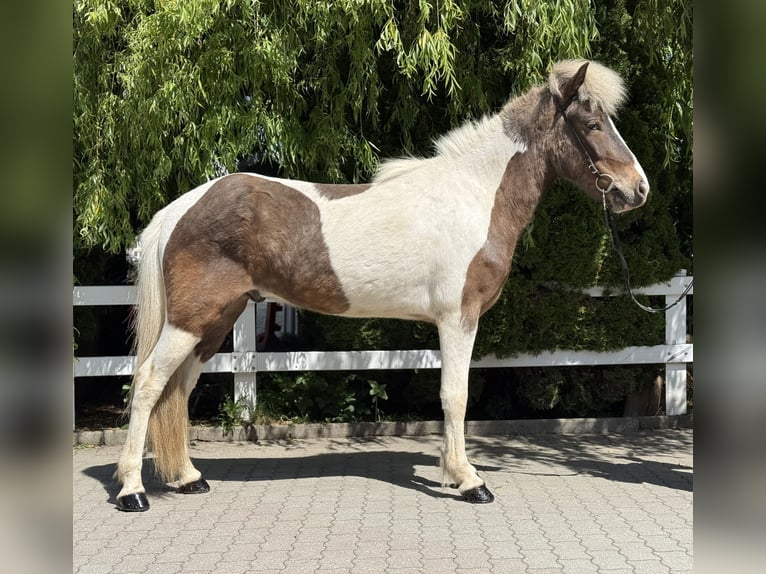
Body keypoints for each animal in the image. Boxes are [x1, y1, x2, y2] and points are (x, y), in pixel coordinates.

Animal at [115, 59, 649, 511]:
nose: (638, 188)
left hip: (214, 321)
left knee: (179, 388)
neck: (473, 195)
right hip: (191, 320)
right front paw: (469, 480)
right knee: (148, 383)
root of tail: (180, 210)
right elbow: (455, 396)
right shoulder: (458, 318)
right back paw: (132, 491)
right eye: (592, 124)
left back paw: (188, 477)